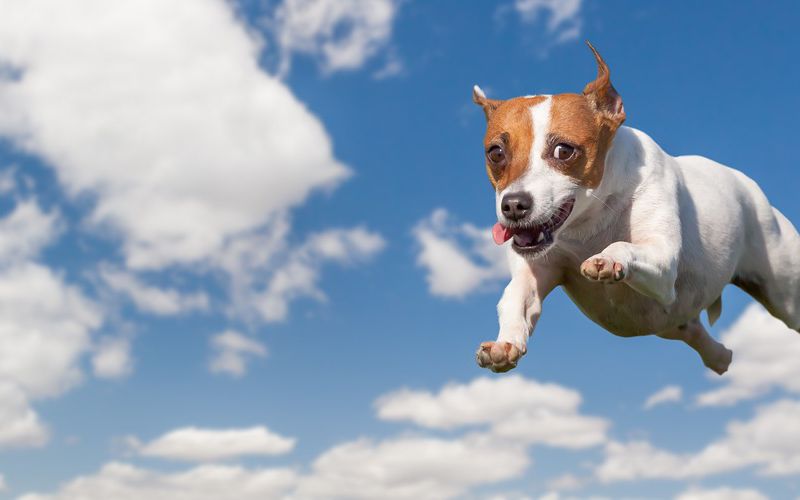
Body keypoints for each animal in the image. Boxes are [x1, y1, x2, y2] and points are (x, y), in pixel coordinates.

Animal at [472, 44, 796, 376]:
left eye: (564, 150)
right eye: (495, 153)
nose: (513, 205)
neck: (589, 222)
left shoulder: (663, 262)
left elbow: (624, 245)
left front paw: (608, 257)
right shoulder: (537, 270)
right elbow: (516, 297)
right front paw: (504, 344)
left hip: (784, 294)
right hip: (671, 319)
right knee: (691, 329)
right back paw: (718, 356)